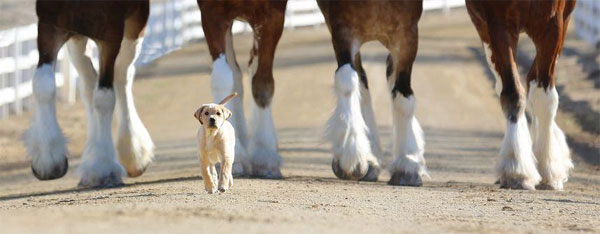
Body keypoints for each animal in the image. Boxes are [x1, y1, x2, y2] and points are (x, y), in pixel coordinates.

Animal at [26, 0, 154, 186]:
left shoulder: (110, 34)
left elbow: (104, 98)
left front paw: (104, 168)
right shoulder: (51, 24)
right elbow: (43, 84)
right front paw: (48, 159)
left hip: (135, 25)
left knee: (122, 75)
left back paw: (132, 153)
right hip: (78, 36)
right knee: (89, 84)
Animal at [197, 0, 288, 179]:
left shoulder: (272, 15)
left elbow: (262, 81)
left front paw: (265, 157)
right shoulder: (212, 12)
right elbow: (223, 77)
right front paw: (235, 154)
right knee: (236, 74)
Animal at [318, 0, 426, 186]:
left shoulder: (407, 35)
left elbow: (403, 96)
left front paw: (408, 164)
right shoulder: (343, 29)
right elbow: (347, 80)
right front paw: (352, 156)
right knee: (361, 83)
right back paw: (370, 159)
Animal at [466, 0, 576, 190]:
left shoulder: (552, 24)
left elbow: (544, 98)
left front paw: (549, 169)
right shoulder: (499, 24)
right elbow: (513, 93)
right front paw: (516, 168)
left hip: (564, 22)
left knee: (533, 81)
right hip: (483, 29)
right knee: (506, 86)